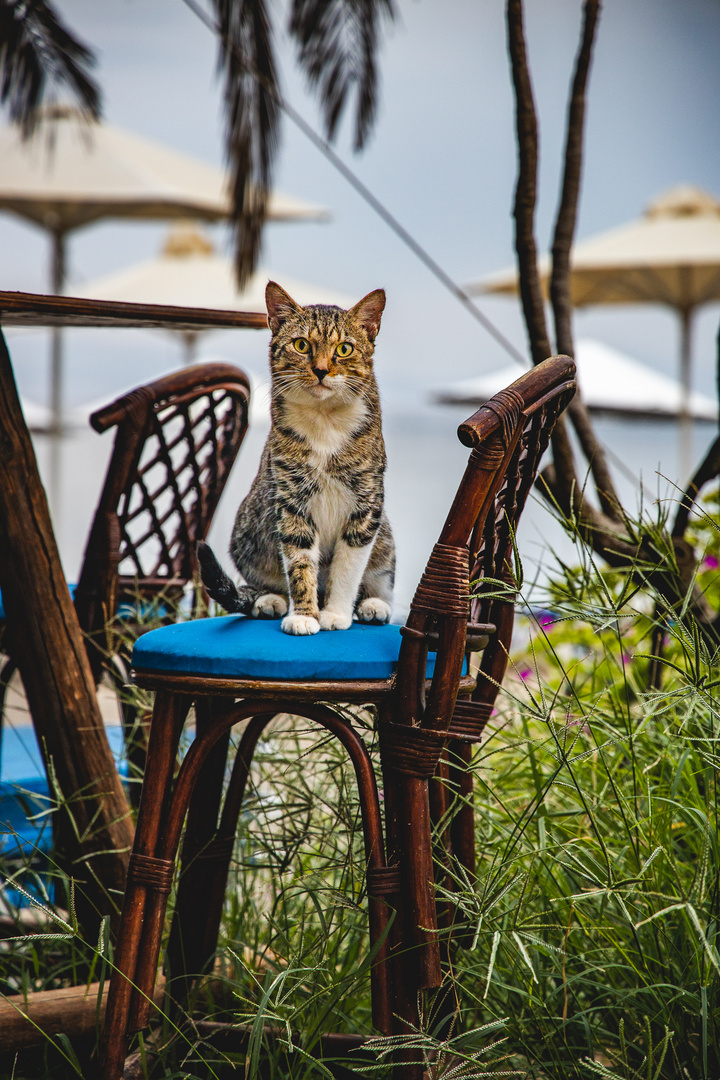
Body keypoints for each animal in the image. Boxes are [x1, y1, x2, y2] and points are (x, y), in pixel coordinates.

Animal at [198, 276, 395, 630]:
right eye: (301, 345)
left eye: (344, 348)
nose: (321, 369)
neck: (325, 420)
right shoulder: (291, 500)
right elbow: (300, 561)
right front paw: (305, 616)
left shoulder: (367, 502)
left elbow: (349, 566)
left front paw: (335, 613)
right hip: (247, 529)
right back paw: (270, 600)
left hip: (386, 536)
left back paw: (373, 605)